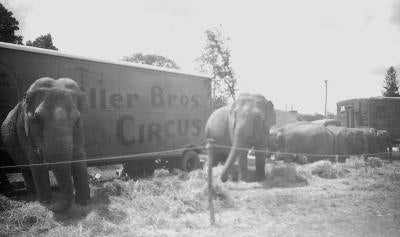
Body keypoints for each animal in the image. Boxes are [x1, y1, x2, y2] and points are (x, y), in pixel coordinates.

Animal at [1, 77, 90, 213]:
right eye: (37, 118)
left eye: (76, 119)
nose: (54, 204)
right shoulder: (24, 128)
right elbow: (35, 160)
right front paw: (46, 202)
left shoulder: (80, 127)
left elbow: (79, 152)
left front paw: (84, 202)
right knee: (25, 168)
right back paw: (33, 195)